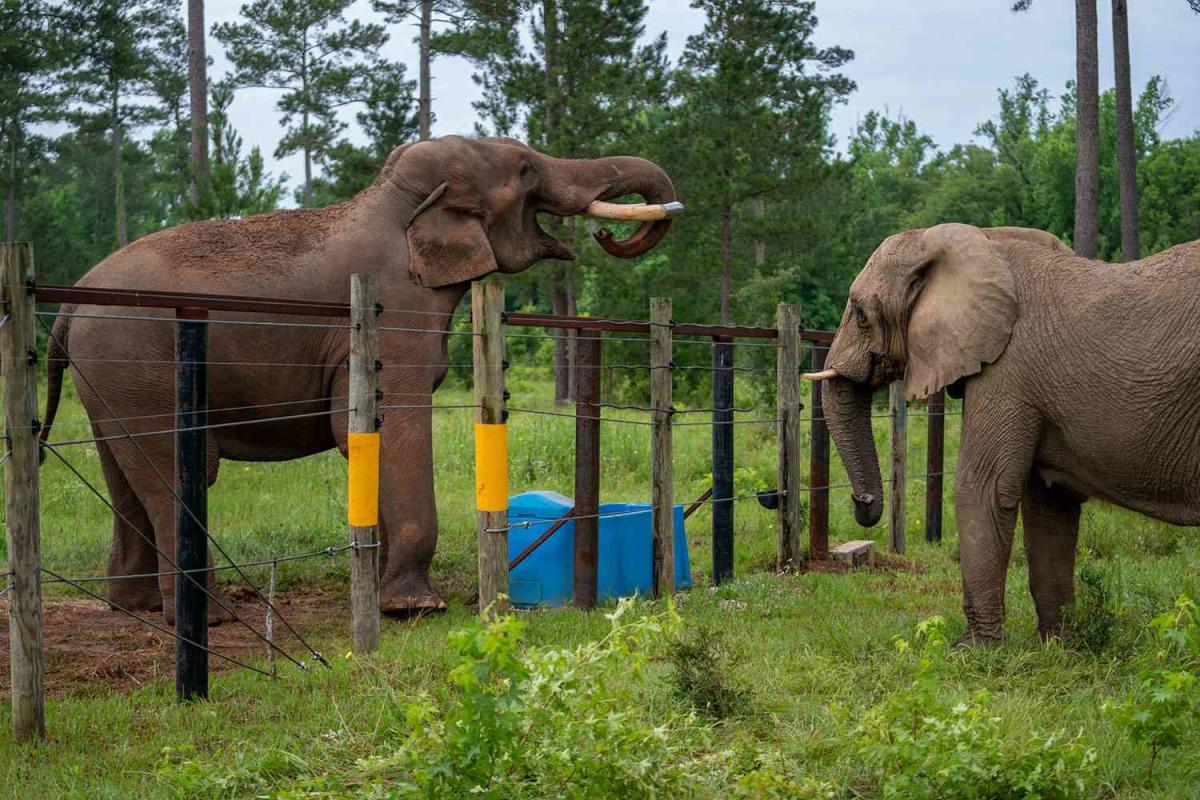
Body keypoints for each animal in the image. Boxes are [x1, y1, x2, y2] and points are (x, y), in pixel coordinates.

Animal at [42, 136, 681, 623]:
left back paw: (137, 608)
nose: (602, 236)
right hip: (137, 359)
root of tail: (69, 307)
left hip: (111, 378)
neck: (398, 201)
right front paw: (416, 608)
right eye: (524, 170)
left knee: (123, 471)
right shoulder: (394, 310)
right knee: (177, 468)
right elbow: (390, 428)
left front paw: (379, 589)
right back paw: (211, 619)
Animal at [806, 221, 1200, 647]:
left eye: (861, 314)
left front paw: (970, 649)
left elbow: (982, 488)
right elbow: (1049, 504)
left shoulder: (1007, 370)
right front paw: (1058, 646)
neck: (985, 239)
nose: (861, 501)